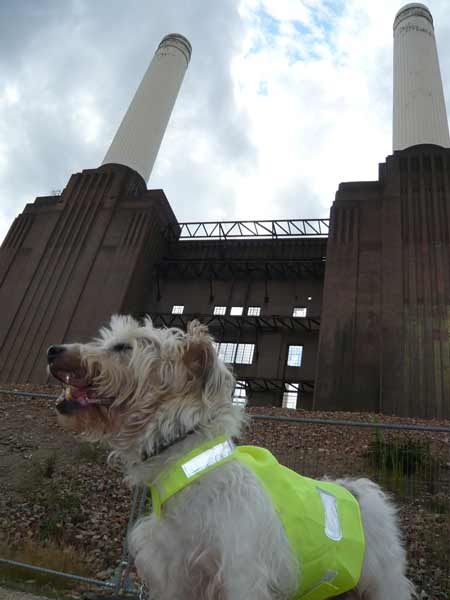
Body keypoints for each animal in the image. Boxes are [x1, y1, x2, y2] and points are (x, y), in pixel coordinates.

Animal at [48, 316, 414, 596]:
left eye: (124, 347)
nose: (52, 350)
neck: (190, 469)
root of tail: (361, 489)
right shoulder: (174, 577)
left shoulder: (242, 576)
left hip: (383, 584)